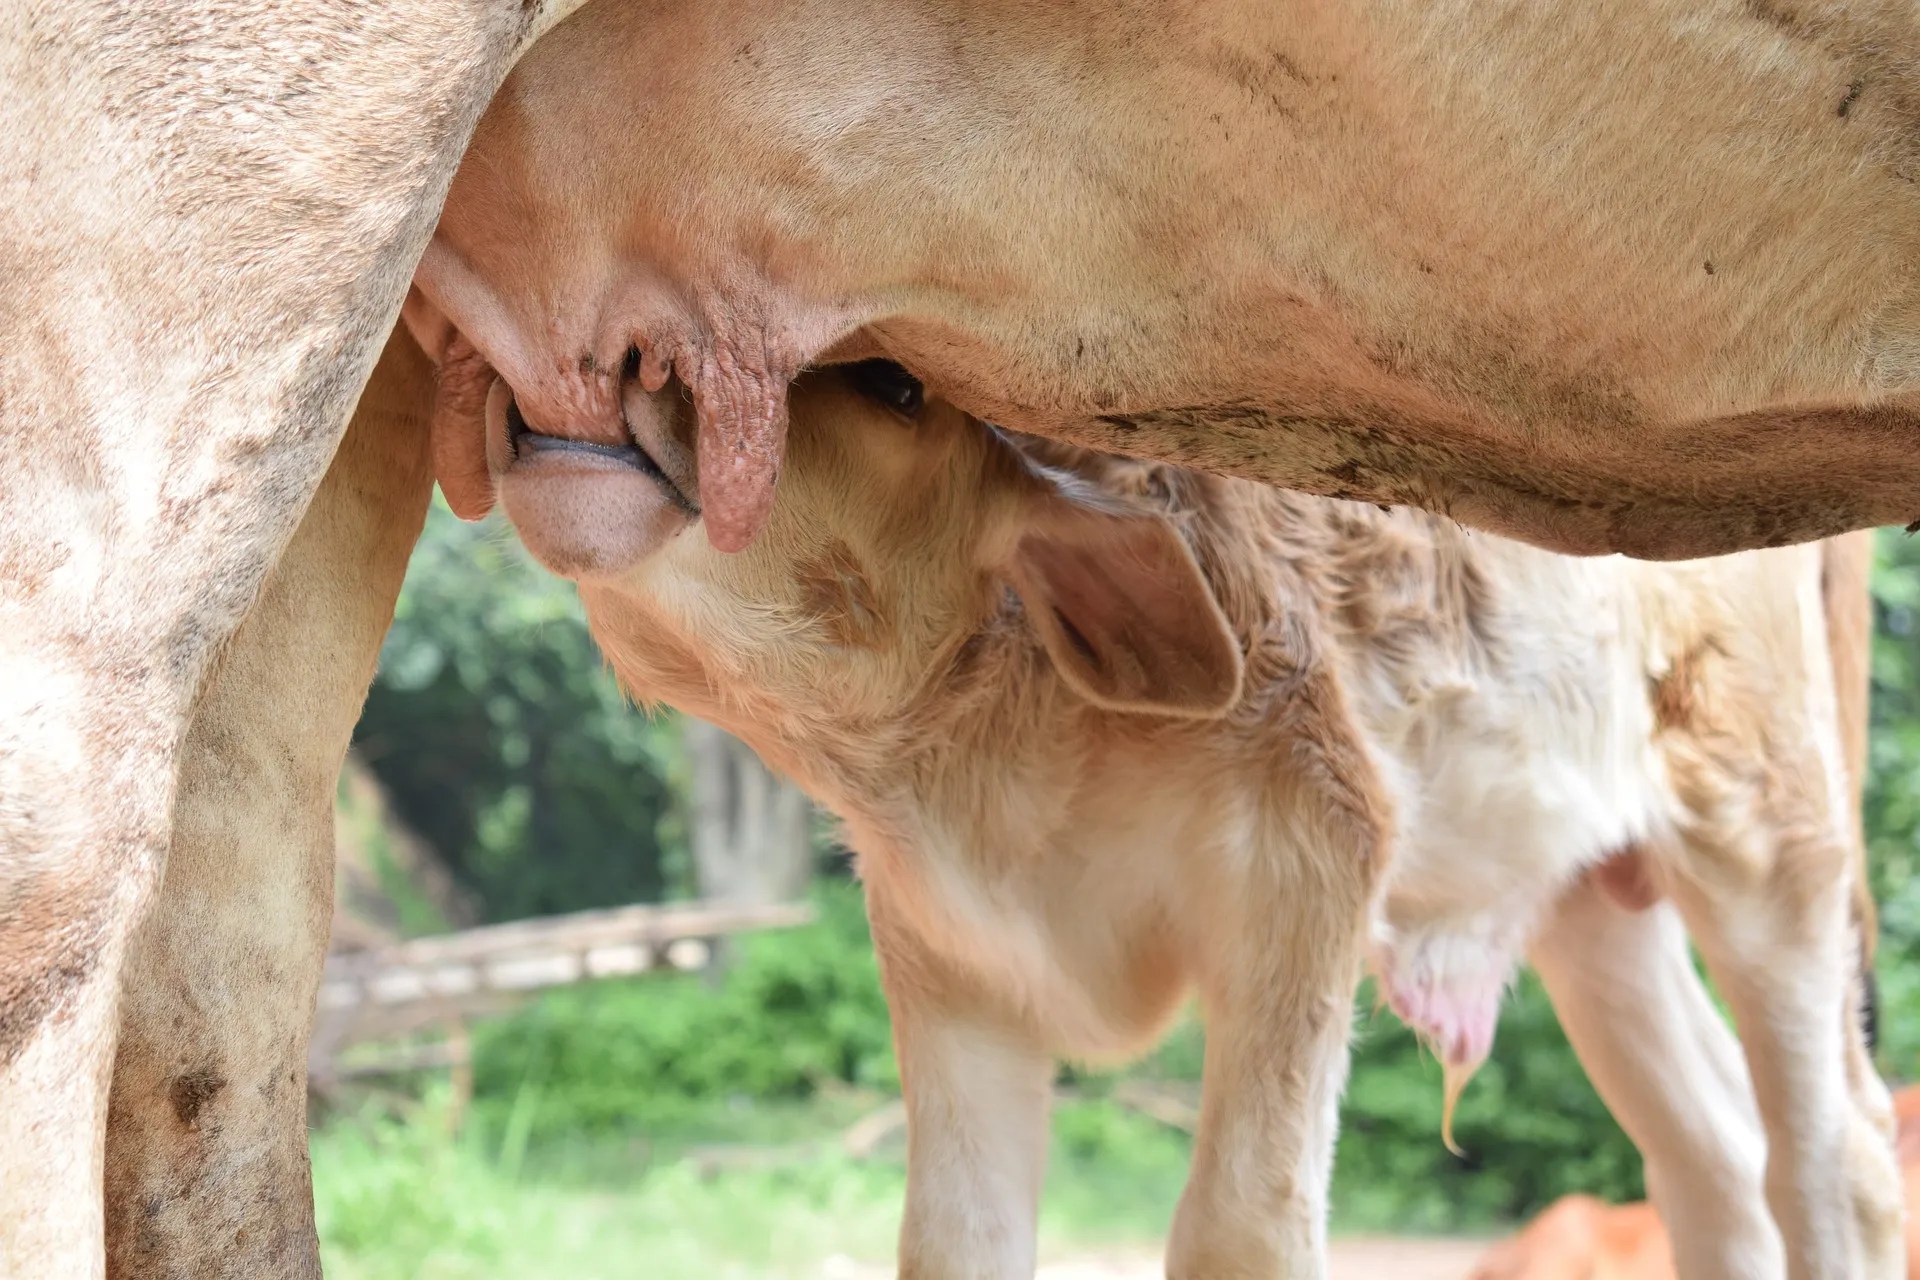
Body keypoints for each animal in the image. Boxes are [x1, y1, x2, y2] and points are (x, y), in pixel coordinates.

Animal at [478, 353, 1901, 1278]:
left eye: (893, 386)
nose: (622, 358)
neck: (981, 780)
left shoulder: (1308, 861)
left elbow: (1241, 1224)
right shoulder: (950, 958)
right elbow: (952, 1237)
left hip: (1766, 834)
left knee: (1835, 1158)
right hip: (1589, 909)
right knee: (1712, 1152)